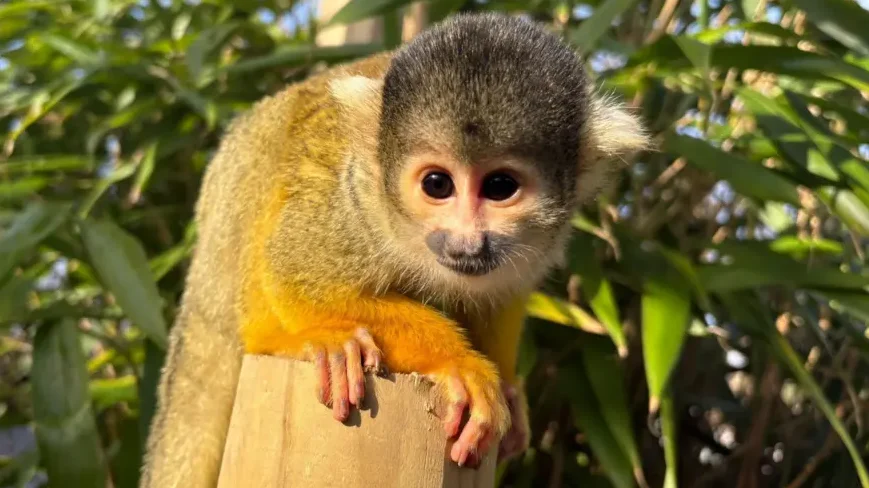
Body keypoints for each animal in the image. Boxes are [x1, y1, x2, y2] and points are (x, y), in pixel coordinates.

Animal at [139, 12, 648, 488]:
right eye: (437, 184)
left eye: (501, 187)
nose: (466, 242)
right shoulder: (358, 203)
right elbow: (293, 273)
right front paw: (458, 361)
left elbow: (498, 297)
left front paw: (507, 387)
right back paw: (295, 340)